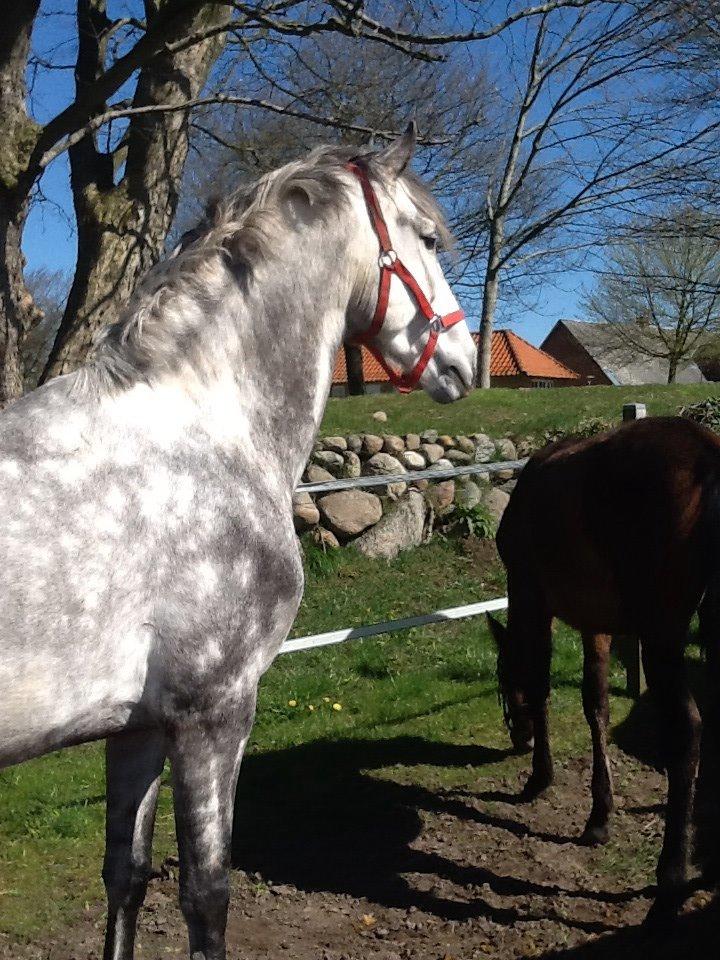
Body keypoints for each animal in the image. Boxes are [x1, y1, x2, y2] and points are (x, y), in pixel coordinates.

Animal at [1, 127, 478, 960]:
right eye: (426, 238)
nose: (464, 359)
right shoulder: (214, 712)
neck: (202, 425)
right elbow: (207, 896)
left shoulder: (138, 725)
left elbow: (125, 877)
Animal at [486, 416, 720, 920]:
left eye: (503, 685)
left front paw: (540, 775)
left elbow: (541, 686)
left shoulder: (533, 598)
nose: (517, 738)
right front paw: (600, 813)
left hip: (660, 634)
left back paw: (671, 879)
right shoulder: (596, 625)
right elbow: (596, 704)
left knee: (686, 730)